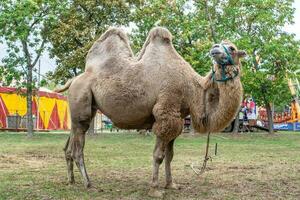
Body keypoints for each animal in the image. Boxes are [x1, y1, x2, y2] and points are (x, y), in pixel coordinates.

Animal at [55, 26, 246, 197]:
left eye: (232, 48)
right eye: (224, 46)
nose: (214, 48)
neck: (193, 89)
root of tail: (73, 80)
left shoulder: (177, 118)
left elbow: (170, 156)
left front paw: (171, 184)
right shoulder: (166, 112)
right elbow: (159, 156)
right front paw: (155, 189)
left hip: (83, 109)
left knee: (69, 145)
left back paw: (71, 181)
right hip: (81, 100)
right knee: (78, 147)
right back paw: (89, 184)